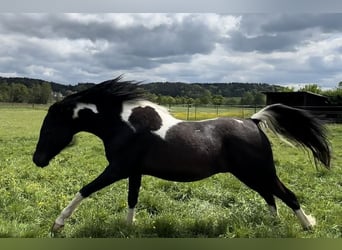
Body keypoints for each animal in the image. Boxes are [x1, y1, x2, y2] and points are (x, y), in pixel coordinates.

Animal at [33, 76, 330, 232]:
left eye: (50, 128)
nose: (38, 160)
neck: (125, 125)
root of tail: (253, 121)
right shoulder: (134, 172)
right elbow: (132, 199)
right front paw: (128, 228)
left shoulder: (118, 169)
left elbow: (85, 189)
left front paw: (58, 224)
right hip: (249, 173)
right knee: (270, 196)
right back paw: (273, 225)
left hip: (259, 170)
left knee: (287, 195)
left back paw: (308, 226)